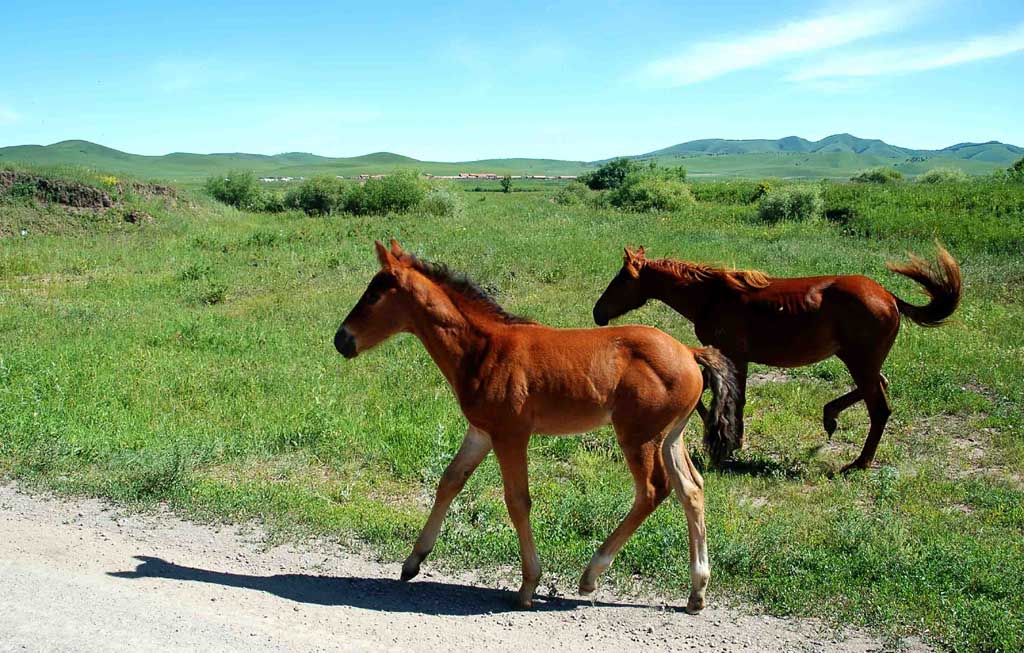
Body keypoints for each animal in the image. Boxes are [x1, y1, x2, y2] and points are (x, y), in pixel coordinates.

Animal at [335, 240, 745, 614]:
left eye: (374, 294)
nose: (341, 340)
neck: (484, 350)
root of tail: (691, 353)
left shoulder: (511, 434)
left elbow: (518, 501)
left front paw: (528, 585)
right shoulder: (481, 431)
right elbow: (450, 481)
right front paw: (413, 562)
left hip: (639, 436)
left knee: (652, 490)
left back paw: (591, 574)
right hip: (670, 437)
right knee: (691, 489)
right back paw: (697, 592)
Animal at [593, 244, 958, 470]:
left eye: (621, 279)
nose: (598, 313)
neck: (712, 297)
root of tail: (890, 297)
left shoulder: (734, 356)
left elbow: (729, 399)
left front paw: (724, 442)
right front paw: (727, 440)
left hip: (859, 362)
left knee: (880, 408)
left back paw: (858, 463)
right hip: (862, 361)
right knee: (881, 383)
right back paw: (830, 416)